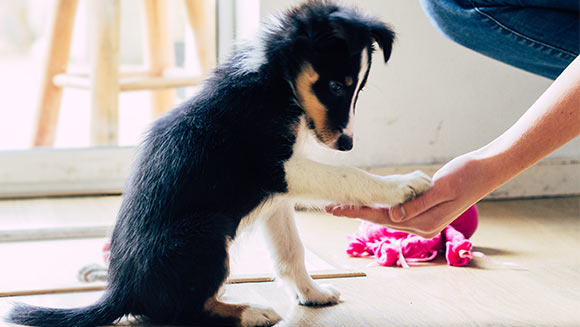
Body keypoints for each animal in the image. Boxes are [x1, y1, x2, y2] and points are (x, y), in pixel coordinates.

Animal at [5, 1, 430, 326]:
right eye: (336, 86)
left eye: (359, 87)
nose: (346, 143)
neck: (274, 81)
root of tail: (120, 292)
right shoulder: (277, 168)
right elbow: (346, 174)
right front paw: (403, 184)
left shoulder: (276, 197)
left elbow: (291, 253)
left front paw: (311, 294)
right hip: (206, 232)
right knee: (181, 312)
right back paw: (251, 312)